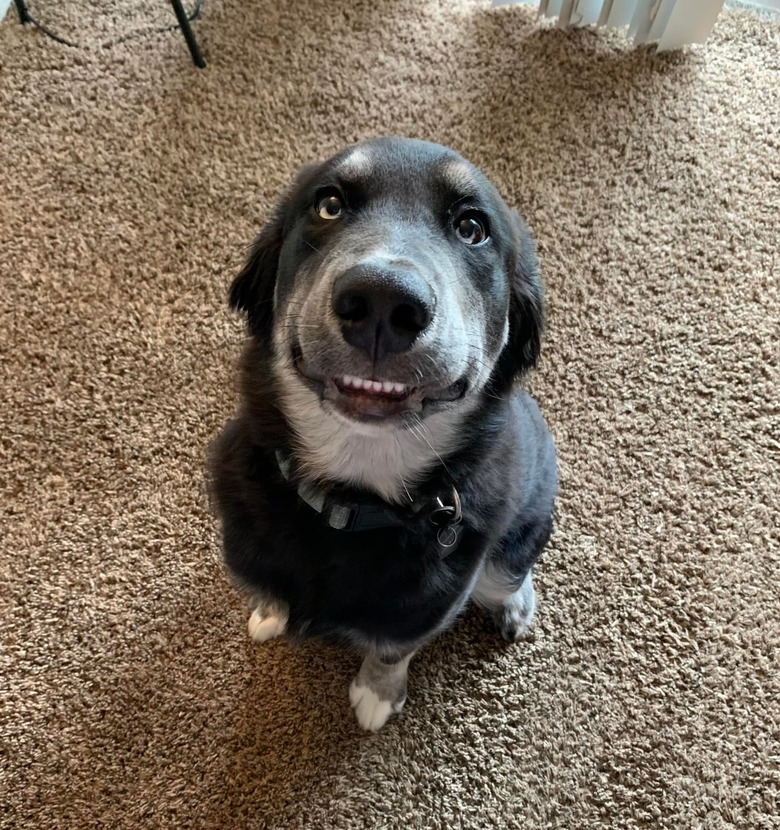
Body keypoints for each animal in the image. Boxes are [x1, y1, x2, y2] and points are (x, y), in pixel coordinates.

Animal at [210, 136, 556, 736]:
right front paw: (269, 611)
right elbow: (268, 586)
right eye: (329, 204)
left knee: (509, 574)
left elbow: (393, 649)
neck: (352, 498)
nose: (382, 300)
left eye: (472, 227)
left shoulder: (425, 608)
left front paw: (376, 695)